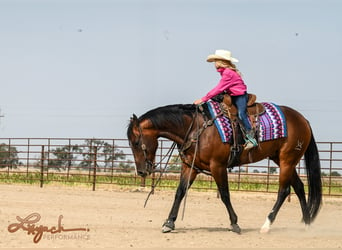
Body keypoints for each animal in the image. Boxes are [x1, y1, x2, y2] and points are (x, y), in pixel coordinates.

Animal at [126, 100, 320, 233]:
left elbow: (225, 194)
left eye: (135, 143)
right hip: (282, 160)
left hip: (287, 160)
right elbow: (180, 192)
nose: (141, 171)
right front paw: (169, 222)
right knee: (299, 187)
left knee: (284, 191)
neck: (196, 128)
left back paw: (266, 225)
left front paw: (234, 223)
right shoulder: (191, 167)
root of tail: (303, 120)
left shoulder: (217, 166)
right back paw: (307, 223)